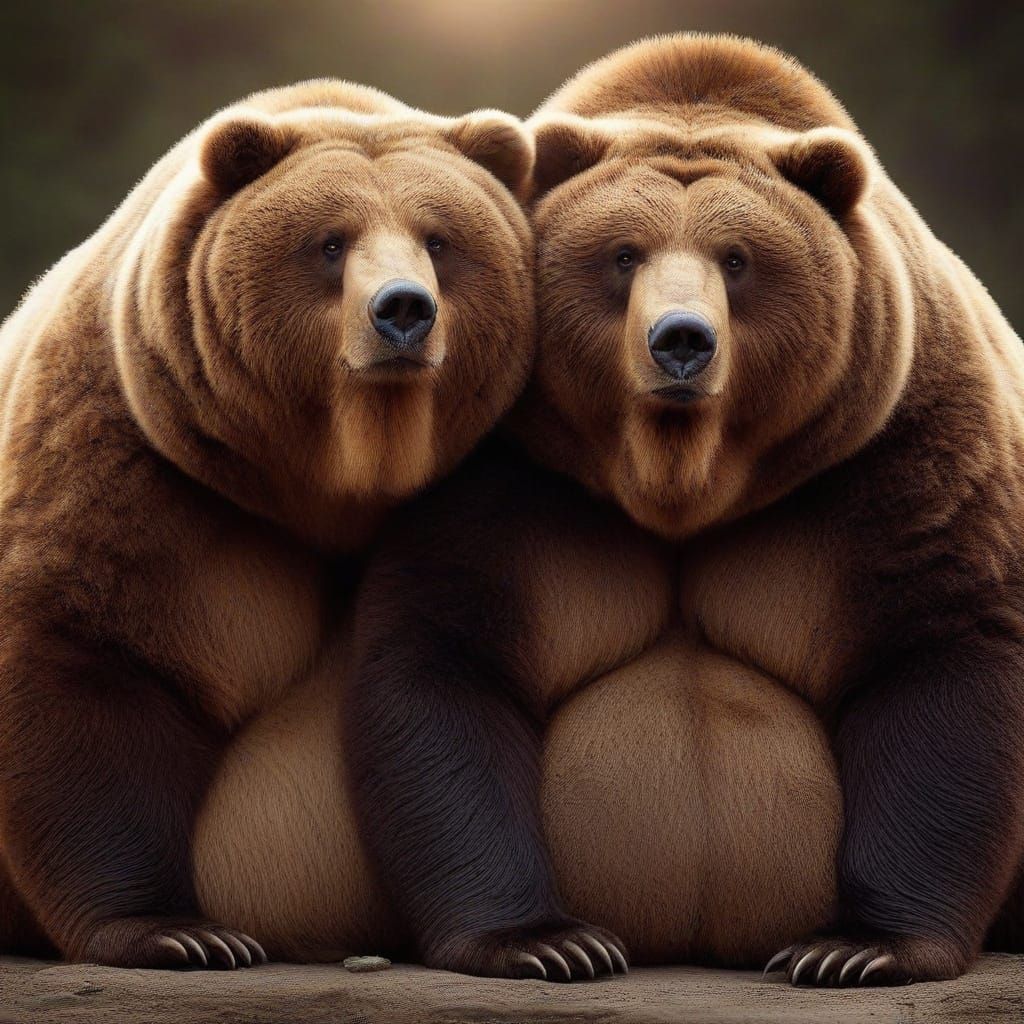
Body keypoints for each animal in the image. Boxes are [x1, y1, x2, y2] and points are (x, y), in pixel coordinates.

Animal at [0, 78, 535, 968]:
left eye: (439, 238)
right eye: (330, 243)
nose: (403, 311)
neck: (331, 481)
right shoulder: (141, 470)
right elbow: (83, 655)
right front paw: (174, 930)